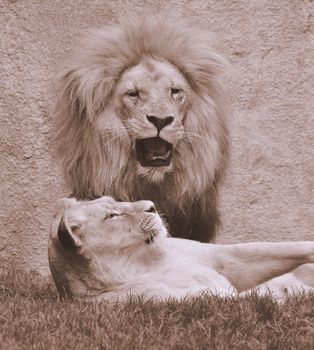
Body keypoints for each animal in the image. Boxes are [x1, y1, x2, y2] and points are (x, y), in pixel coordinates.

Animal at [48, 197, 314, 300]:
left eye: (114, 201)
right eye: (112, 216)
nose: (152, 205)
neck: (142, 261)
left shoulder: (221, 257)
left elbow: (278, 248)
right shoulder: (198, 300)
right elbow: (258, 294)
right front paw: (294, 287)